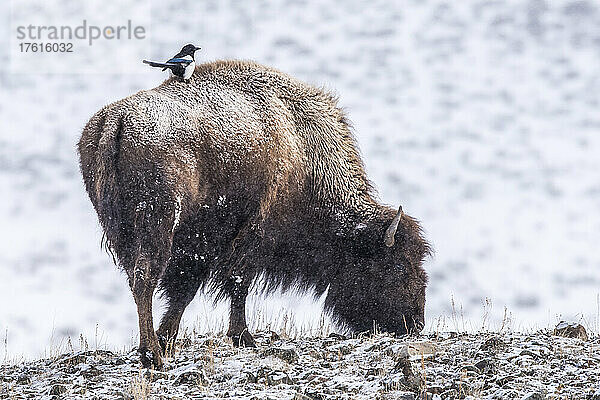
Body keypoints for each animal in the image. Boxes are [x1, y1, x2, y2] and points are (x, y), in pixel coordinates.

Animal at [77, 60, 432, 368]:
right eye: (397, 266)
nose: (413, 324)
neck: (303, 150)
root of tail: (116, 120)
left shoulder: (201, 248)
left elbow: (184, 291)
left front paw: (169, 338)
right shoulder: (252, 236)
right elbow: (237, 284)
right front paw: (243, 337)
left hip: (123, 231)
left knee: (138, 281)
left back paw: (153, 348)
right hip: (158, 221)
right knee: (144, 278)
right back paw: (152, 355)